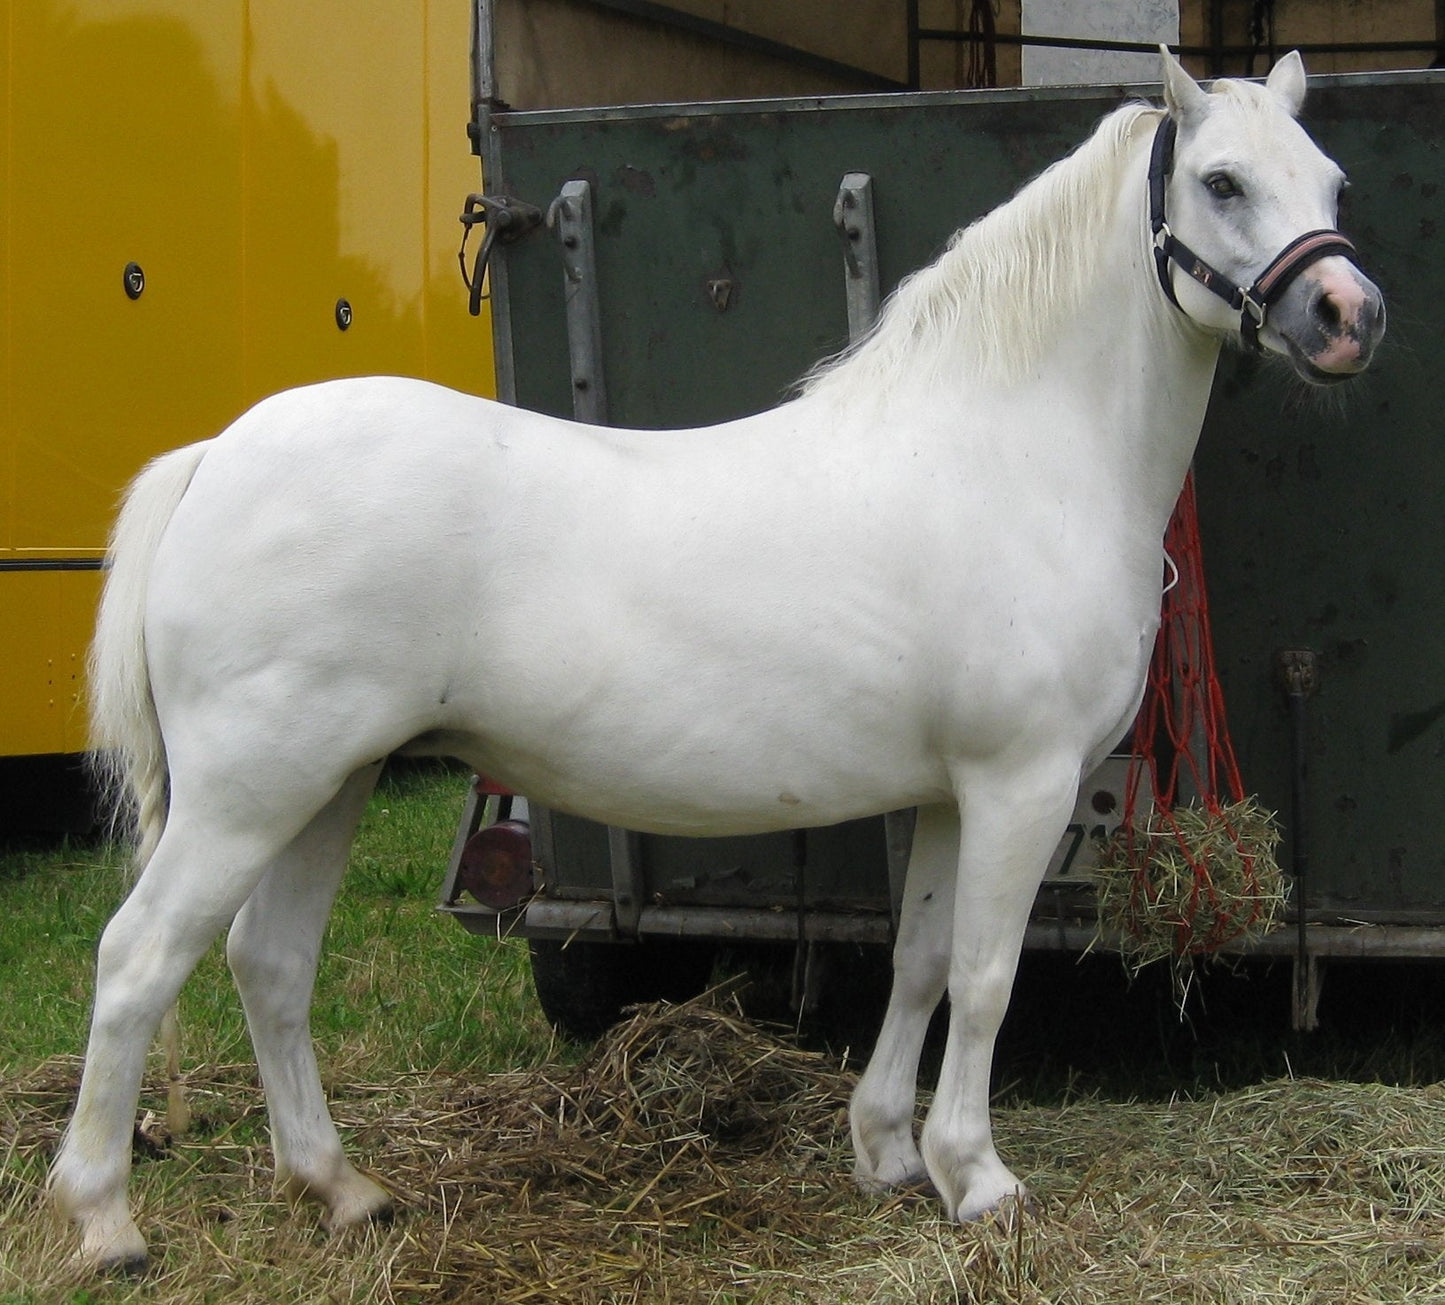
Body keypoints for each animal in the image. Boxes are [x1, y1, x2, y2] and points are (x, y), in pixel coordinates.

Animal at [56, 53, 1381, 1277]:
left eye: (1328, 180)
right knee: (136, 962)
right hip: (251, 791)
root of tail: (218, 455)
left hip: (329, 784)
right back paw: (106, 1221)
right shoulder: (1021, 783)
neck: (1008, 448)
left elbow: (918, 962)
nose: (1345, 315)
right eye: (1220, 182)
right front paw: (977, 1178)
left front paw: (887, 1152)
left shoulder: (951, 795)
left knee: (268, 965)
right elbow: (987, 974)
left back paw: (341, 1190)